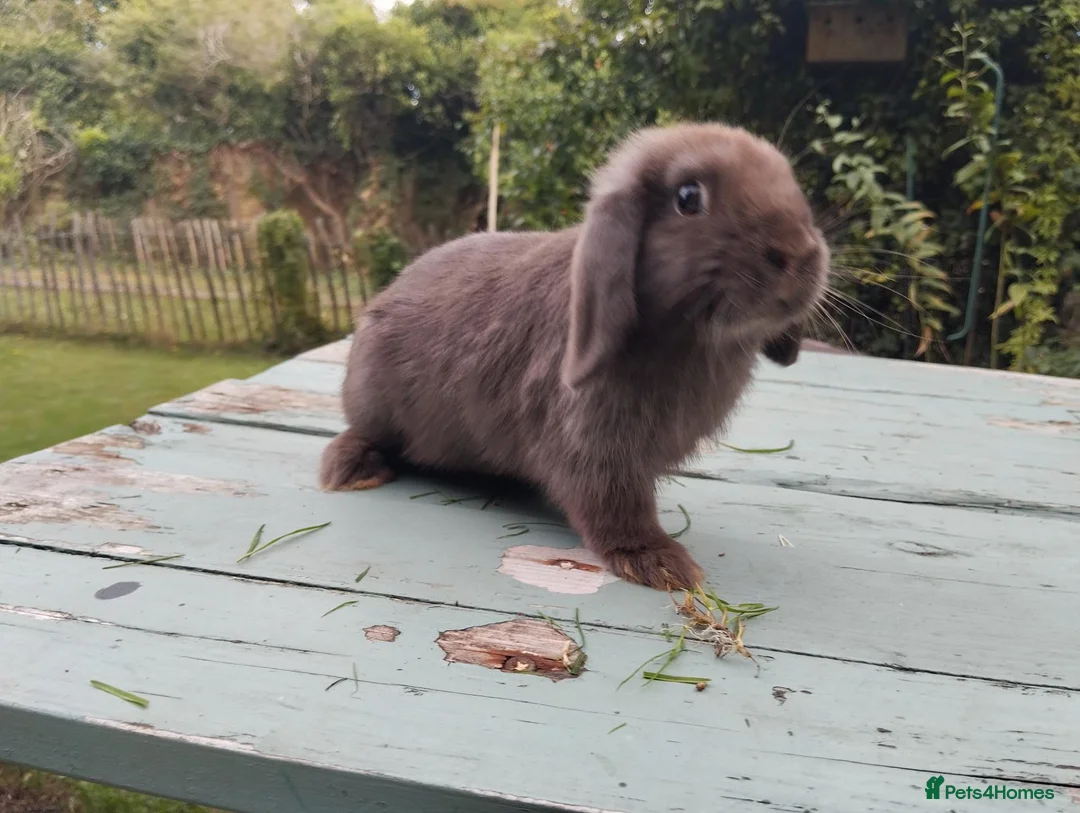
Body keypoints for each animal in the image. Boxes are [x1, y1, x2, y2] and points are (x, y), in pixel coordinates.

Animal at [319, 122, 829, 591]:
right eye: (688, 197)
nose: (800, 252)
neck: (691, 340)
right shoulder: (592, 445)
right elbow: (612, 506)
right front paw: (661, 564)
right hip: (372, 397)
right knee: (363, 432)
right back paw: (351, 471)